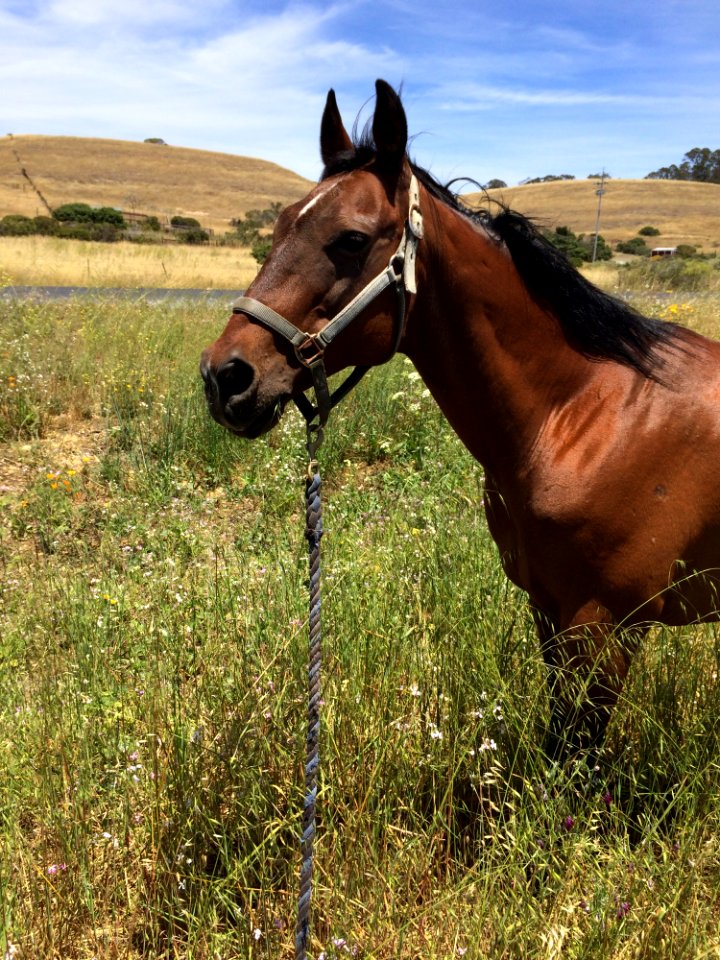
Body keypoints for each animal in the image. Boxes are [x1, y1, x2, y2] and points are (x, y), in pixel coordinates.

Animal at [200, 80, 720, 756]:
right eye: (283, 223)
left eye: (350, 239)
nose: (224, 376)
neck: (586, 416)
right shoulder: (550, 612)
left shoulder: (603, 628)